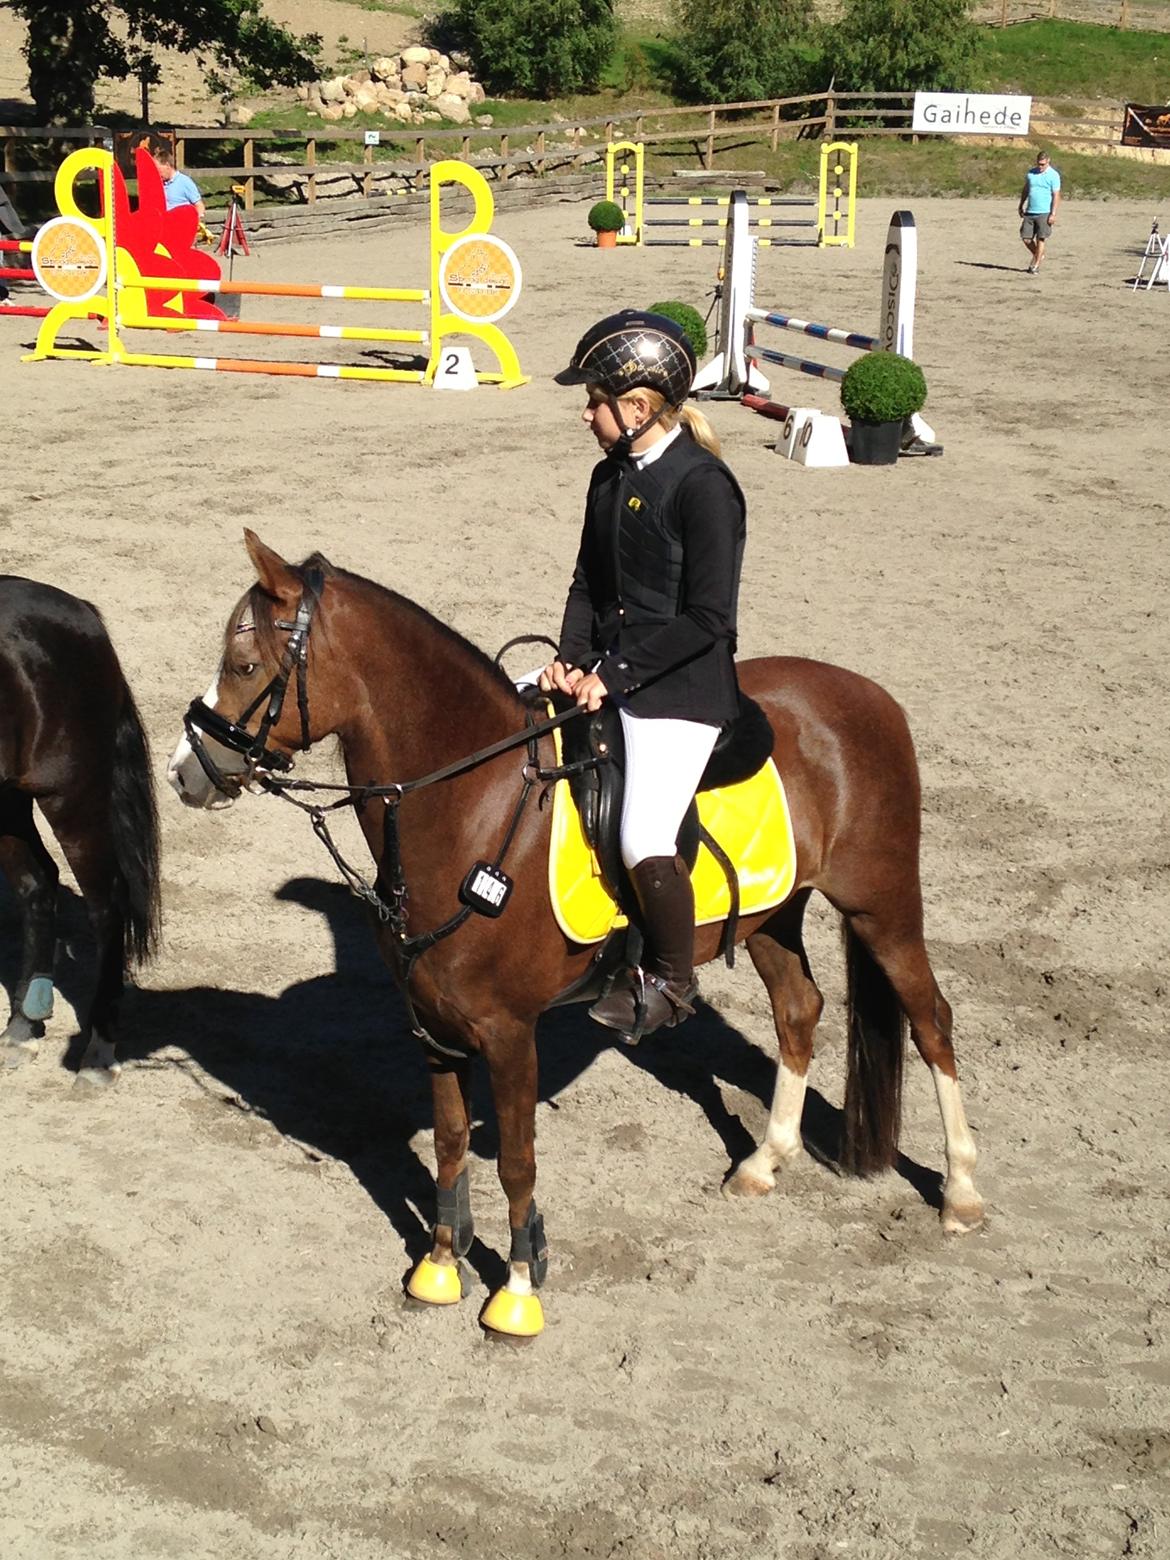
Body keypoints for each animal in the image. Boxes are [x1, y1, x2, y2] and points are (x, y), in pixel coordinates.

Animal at [0, 577, 161, 1082]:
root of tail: (82, 613)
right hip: (9, 798)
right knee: (37, 884)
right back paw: (21, 1027)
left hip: (71, 798)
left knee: (106, 905)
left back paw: (98, 1052)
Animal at [168, 531, 984, 1337]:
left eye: (245, 665)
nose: (184, 771)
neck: (471, 803)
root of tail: (869, 693)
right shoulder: (431, 1025)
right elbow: (451, 1141)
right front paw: (440, 1266)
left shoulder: (508, 1031)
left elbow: (516, 1161)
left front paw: (518, 1290)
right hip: (774, 915)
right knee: (798, 1010)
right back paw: (765, 1161)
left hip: (881, 907)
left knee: (931, 1022)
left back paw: (961, 1193)